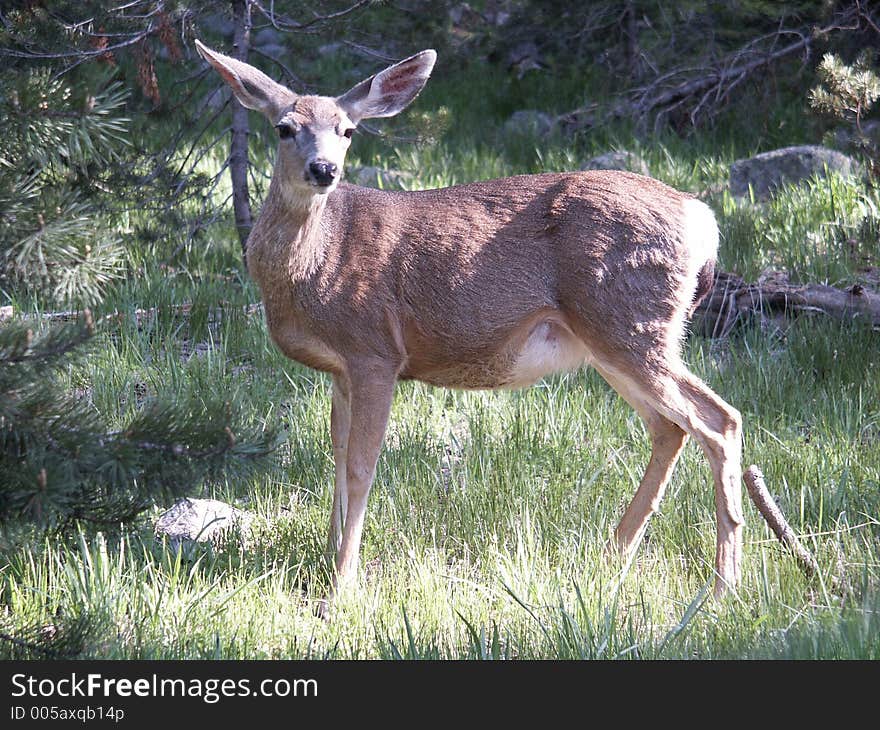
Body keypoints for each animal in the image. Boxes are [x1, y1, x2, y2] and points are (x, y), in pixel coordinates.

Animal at [194, 39, 744, 608]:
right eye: (284, 127)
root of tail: (701, 217)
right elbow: (338, 457)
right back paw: (613, 554)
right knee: (670, 427)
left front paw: (342, 585)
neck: (316, 261)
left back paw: (722, 585)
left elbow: (362, 466)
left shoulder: (375, 350)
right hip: (614, 337)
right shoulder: (340, 369)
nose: (324, 168)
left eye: (348, 131)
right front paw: (326, 559)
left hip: (629, 321)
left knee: (719, 420)